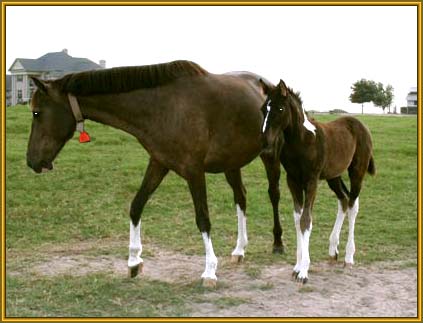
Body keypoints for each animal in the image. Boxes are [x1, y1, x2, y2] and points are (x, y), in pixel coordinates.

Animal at [26, 60, 284, 288]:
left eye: (37, 113)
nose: (31, 161)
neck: (164, 106)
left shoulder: (194, 171)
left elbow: (203, 219)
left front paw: (210, 271)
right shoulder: (159, 163)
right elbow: (136, 205)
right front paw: (133, 261)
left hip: (270, 156)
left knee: (274, 195)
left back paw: (278, 244)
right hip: (231, 163)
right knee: (241, 197)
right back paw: (239, 249)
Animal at [260, 79, 376, 284]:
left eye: (280, 108)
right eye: (263, 109)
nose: (265, 144)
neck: (301, 141)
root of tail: (359, 123)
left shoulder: (311, 180)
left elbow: (306, 220)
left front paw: (303, 272)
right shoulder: (293, 180)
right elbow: (298, 219)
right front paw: (297, 267)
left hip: (357, 172)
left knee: (353, 205)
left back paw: (348, 257)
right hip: (333, 176)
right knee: (344, 200)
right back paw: (333, 250)